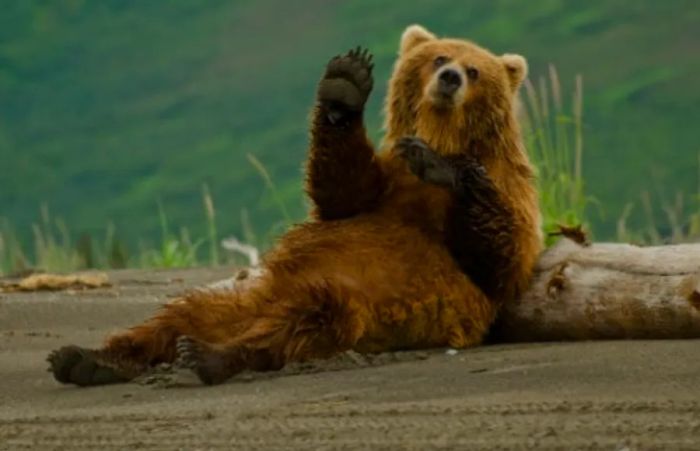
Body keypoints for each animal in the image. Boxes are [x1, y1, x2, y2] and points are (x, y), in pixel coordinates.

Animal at [47, 24, 540, 384]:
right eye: (439, 58)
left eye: (474, 70)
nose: (450, 78)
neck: (444, 134)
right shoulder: (383, 185)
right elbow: (342, 191)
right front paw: (345, 85)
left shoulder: (507, 192)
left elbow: (499, 256)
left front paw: (442, 167)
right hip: (238, 299)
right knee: (175, 315)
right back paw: (87, 358)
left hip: (353, 304)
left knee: (300, 323)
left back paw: (208, 355)